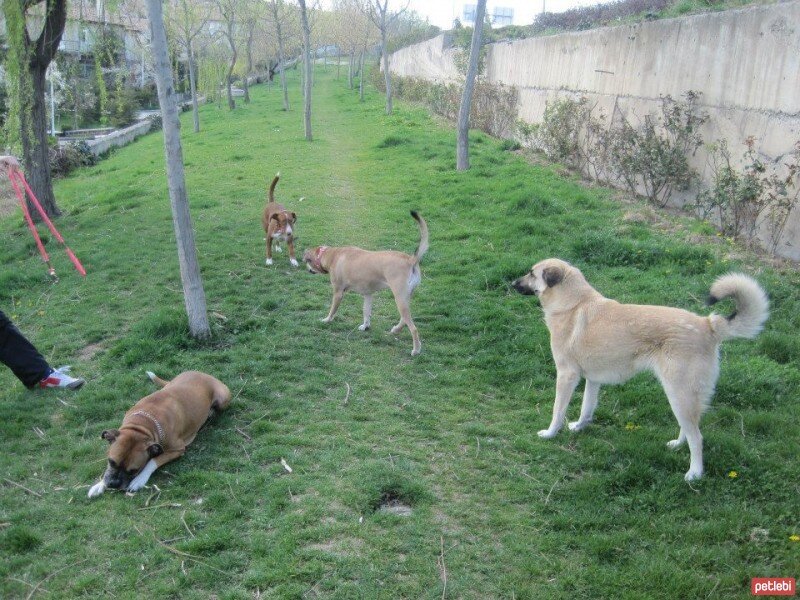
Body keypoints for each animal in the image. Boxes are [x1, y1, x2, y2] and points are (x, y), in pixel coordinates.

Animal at [88, 370, 231, 496]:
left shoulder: (177, 449)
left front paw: (139, 480)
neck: (143, 424)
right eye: (111, 461)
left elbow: (152, 461)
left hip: (222, 398)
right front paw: (99, 485)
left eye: (134, 470)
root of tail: (203, 373)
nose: (114, 483)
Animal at [304, 211, 432, 354]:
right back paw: (396, 330)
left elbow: (332, 310)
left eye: (307, 261)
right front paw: (365, 326)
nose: (308, 270)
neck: (332, 255)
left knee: (413, 327)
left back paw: (416, 349)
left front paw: (327, 320)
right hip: (405, 298)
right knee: (404, 319)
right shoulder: (368, 295)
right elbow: (366, 312)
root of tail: (410, 260)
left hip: (399, 298)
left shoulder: (338, 293)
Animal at [512, 258, 768, 482]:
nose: (512, 283)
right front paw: (579, 427)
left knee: (697, 437)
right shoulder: (593, 379)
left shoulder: (566, 375)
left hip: (678, 394)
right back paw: (677, 445)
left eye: (532, 274)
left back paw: (694, 473)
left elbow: (557, 411)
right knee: (690, 428)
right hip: (682, 396)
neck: (573, 304)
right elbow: (586, 408)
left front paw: (550, 434)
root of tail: (708, 324)